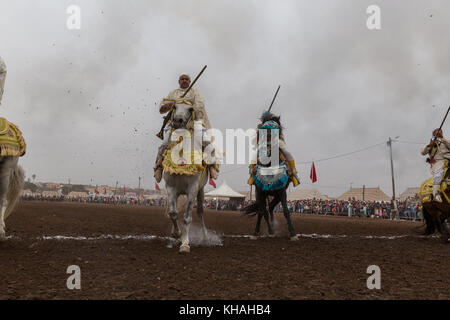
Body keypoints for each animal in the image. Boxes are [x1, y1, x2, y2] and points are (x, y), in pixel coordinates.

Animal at [163, 104, 210, 254]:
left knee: (200, 212)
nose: (178, 120)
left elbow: (187, 217)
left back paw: (205, 237)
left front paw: (185, 243)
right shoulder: (171, 188)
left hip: (200, 191)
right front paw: (176, 234)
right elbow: (173, 213)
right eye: (174, 106)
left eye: (190, 109)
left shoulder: (192, 189)